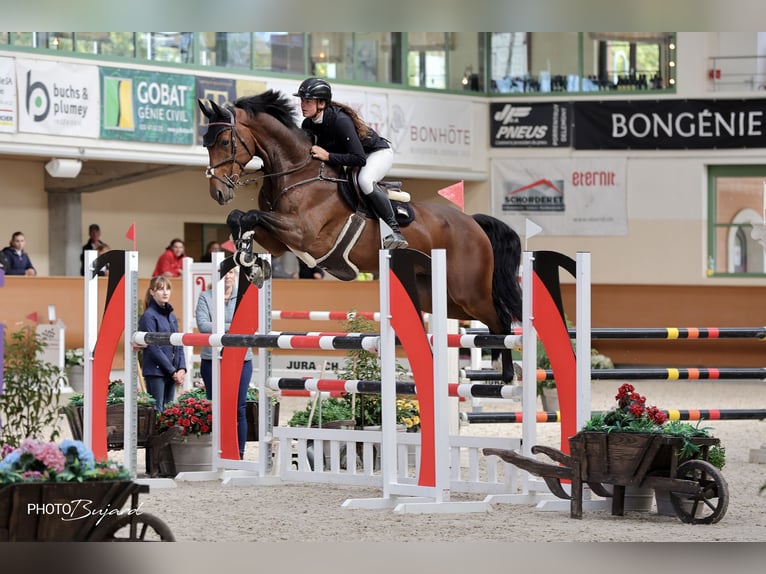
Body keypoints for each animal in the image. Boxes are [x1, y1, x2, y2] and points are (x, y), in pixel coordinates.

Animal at [198, 90, 522, 381]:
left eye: (224, 141)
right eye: (205, 143)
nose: (217, 193)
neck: (295, 171)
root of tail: (473, 223)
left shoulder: (303, 233)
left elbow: (250, 215)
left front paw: (248, 259)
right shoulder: (279, 242)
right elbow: (239, 217)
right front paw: (249, 261)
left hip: (469, 291)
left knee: (501, 318)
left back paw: (507, 374)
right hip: (440, 295)